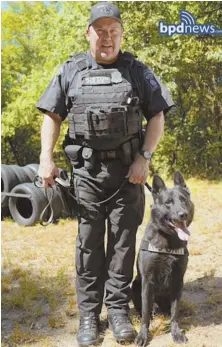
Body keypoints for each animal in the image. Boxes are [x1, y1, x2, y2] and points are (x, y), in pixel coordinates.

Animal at [133, 171, 193, 346]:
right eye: (168, 203)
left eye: (183, 200)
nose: (183, 214)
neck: (168, 240)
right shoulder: (147, 281)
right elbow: (146, 313)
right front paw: (143, 335)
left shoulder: (178, 281)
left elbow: (175, 312)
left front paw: (176, 332)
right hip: (135, 284)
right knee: (145, 309)